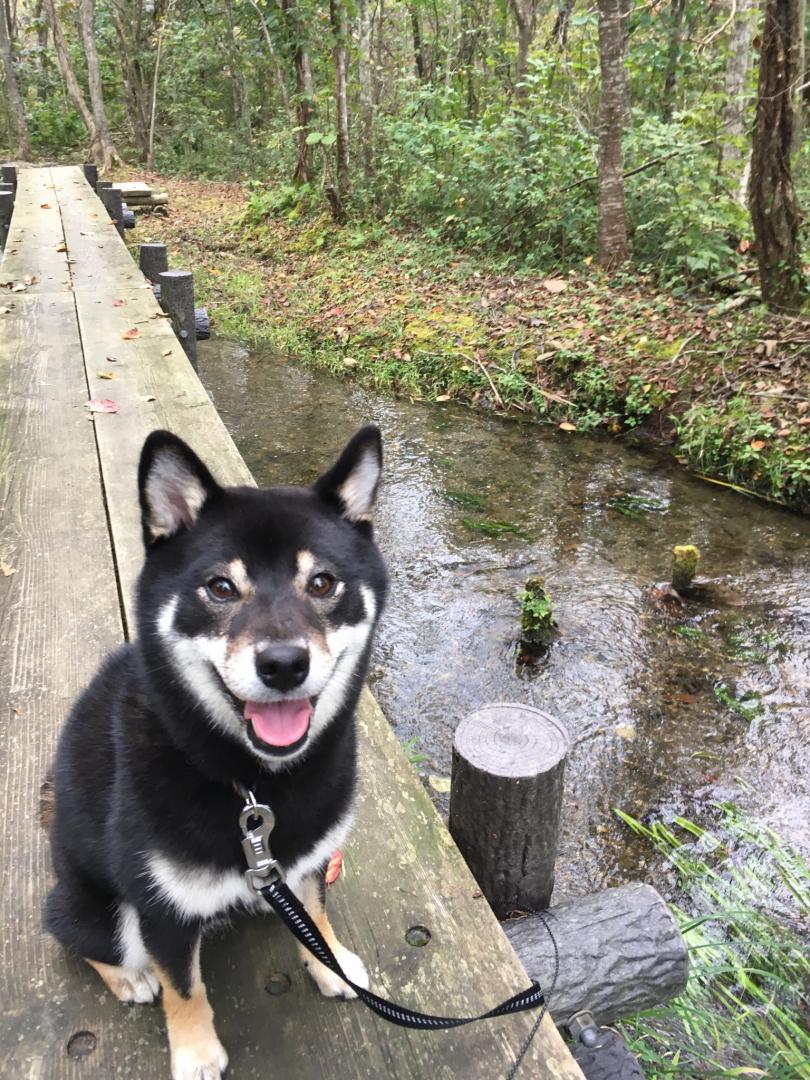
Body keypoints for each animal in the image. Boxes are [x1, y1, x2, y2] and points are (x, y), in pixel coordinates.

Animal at [43, 425, 390, 1075]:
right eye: (221, 587)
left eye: (323, 582)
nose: (284, 664)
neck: (255, 785)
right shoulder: (160, 908)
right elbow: (184, 986)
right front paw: (196, 1052)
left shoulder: (309, 859)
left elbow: (316, 914)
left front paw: (332, 965)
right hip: (101, 910)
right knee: (74, 934)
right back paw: (129, 978)